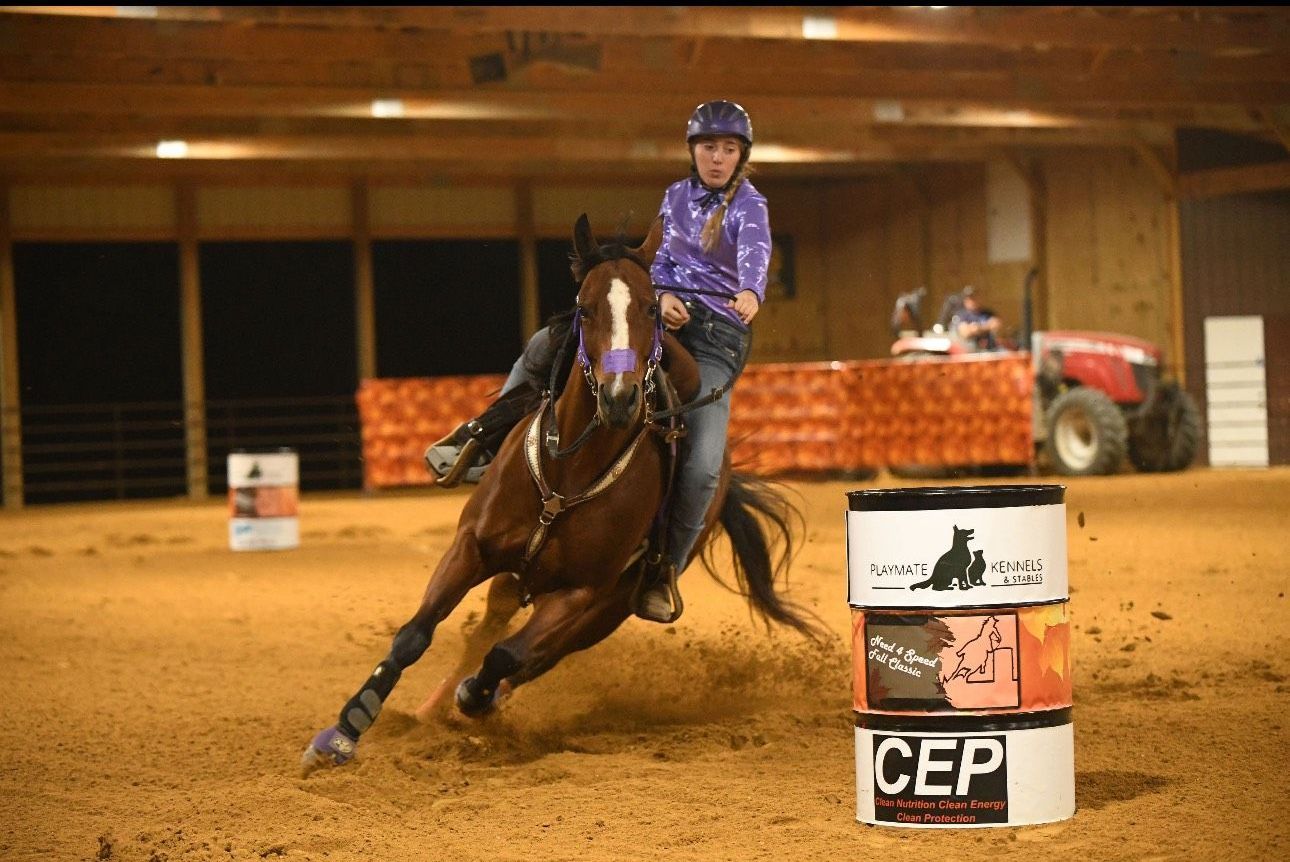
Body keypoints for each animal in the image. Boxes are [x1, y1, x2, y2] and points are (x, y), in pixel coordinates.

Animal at [302, 213, 820, 772]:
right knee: (491, 624)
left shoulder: (580, 593)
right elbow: (415, 634)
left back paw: (474, 703)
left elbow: (508, 655)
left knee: (533, 657)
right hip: (518, 576)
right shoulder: (471, 546)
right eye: (584, 307)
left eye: (650, 308)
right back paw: (430, 711)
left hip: (607, 610)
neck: (569, 470)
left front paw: (475, 698)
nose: (619, 398)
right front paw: (343, 731)